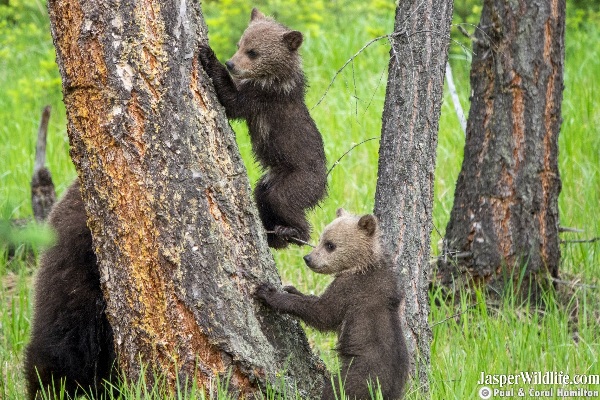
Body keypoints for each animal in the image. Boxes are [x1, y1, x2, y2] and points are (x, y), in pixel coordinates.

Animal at [199, 7, 326, 248]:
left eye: (253, 52)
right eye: (239, 44)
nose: (231, 64)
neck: (272, 77)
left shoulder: (264, 96)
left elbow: (233, 102)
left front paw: (208, 55)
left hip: (301, 179)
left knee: (284, 200)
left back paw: (292, 231)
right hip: (269, 179)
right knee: (263, 197)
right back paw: (272, 235)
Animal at [255, 208, 410, 398]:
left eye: (330, 245)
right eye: (321, 239)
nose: (308, 258)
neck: (362, 265)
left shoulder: (351, 290)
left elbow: (324, 313)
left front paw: (269, 293)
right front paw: (291, 289)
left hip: (359, 375)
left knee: (336, 389)